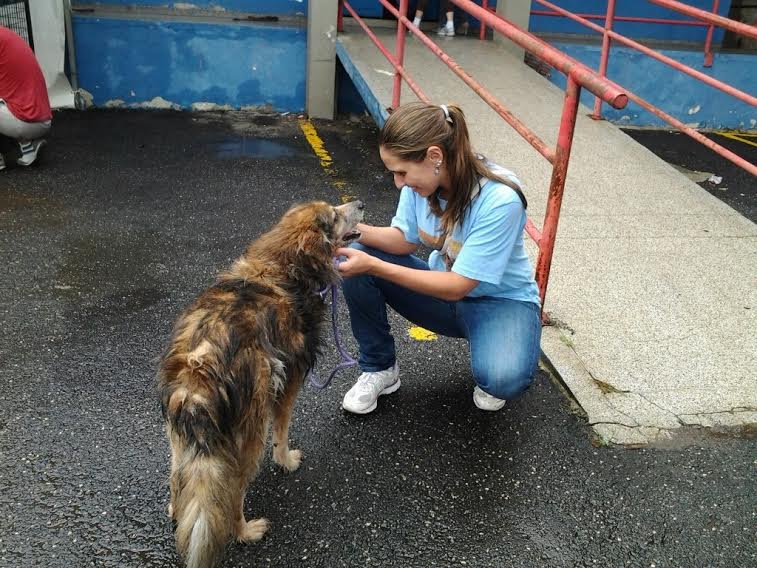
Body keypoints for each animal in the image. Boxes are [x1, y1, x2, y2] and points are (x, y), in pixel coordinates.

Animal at [157, 201, 364, 568]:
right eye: (334, 215)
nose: (360, 204)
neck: (283, 266)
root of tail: (199, 371)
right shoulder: (289, 383)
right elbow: (281, 431)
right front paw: (286, 461)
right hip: (248, 437)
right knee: (232, 493)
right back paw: (245, 531)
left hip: (180, 440)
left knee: (178, 479)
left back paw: (177, 512)